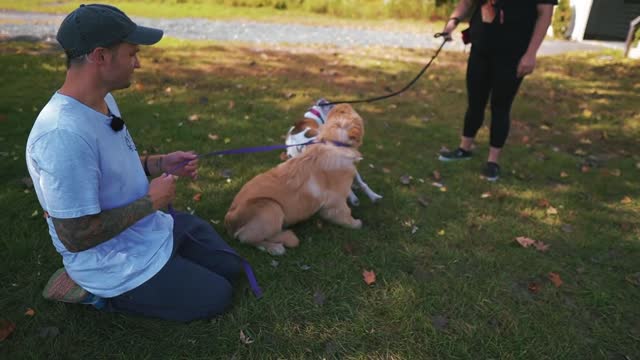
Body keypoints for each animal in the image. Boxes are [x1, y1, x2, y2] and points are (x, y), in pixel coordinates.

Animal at [225, 103, 364, 256]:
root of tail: (228, 219)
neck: (333, 144)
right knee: (246, 238)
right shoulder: (336, 201)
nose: (344, 103)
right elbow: (345, 213)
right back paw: (277, 245)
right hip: (271, 207)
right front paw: (356, 223)